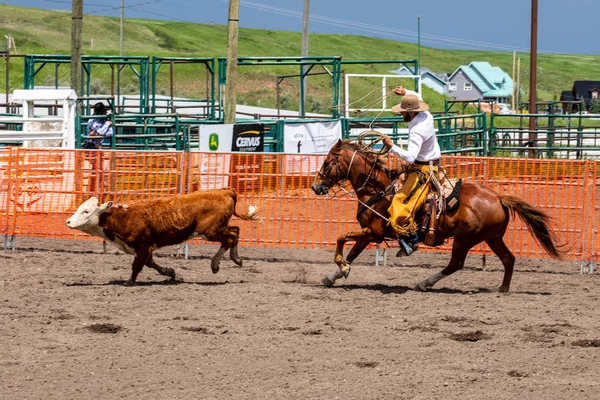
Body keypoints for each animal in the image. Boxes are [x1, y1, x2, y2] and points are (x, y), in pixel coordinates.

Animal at [65, 188, 258, 284]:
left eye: (86, 211)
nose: (68, 222)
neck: (124, 217)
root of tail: (224, 192)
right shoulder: (144, 248)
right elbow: (151, 264)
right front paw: (170, 272)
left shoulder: (143, 246)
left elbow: (137, 266)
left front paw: (129, 282)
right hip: (219, 227)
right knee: (236, 231)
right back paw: (235, 258)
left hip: (210, 231)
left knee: (230, 237)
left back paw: (218, 264)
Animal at [310, 139, 564, 292]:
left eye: (327, 162)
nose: (315, 187)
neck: (379, 190)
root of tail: (499, 197)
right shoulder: (368, 233)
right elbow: (352, 253)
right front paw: (336, 274)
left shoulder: (374, 232)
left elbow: (341, 238)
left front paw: (341, 268)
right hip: (493, 238)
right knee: (508, 259)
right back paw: (502, 289)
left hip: (465, 239)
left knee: (456, 264)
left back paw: (425, 282)